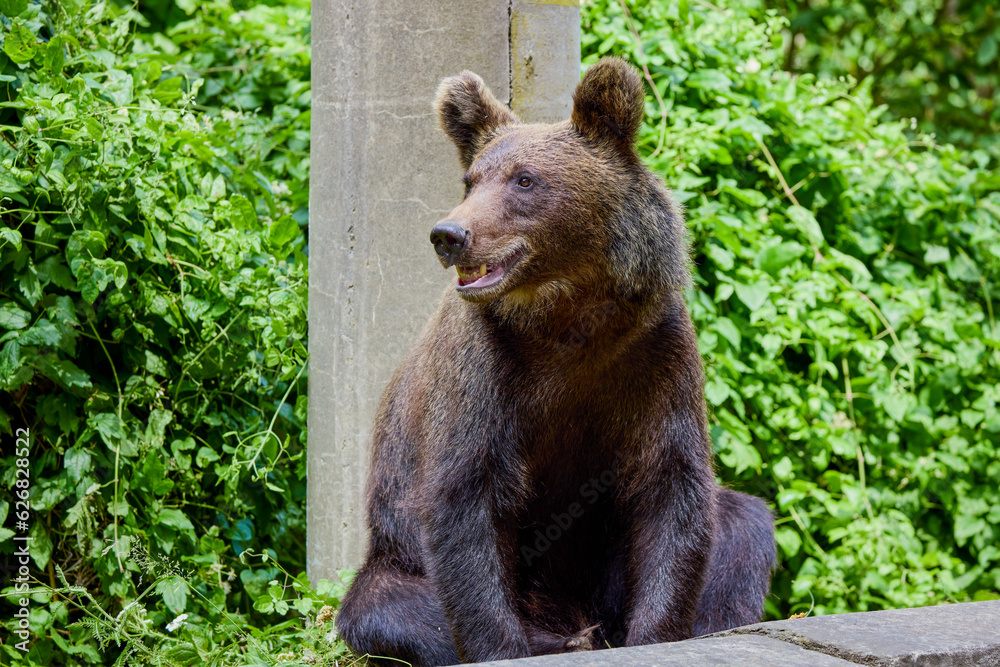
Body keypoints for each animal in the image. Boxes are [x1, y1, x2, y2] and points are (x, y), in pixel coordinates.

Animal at [334, 58, 772, 667]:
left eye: (524, 180)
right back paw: (568, 636)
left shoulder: (654, 354)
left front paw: (656, 633)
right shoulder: (485, 369)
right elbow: (466, 498)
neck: (569, 320)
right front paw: (502, 644)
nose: (449, 234)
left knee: (741, 524)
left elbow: (671, 491)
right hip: (397, 554)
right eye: (471, 181)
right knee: (389, 605)